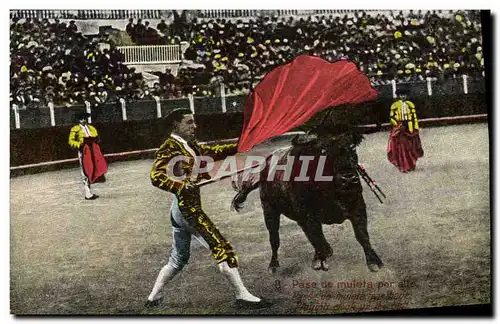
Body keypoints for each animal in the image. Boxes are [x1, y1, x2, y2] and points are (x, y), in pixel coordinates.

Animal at [230, 130, 382, 272]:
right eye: (322, 151)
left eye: (352, 147)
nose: (348, 179)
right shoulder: (310, 216)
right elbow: (316, 237)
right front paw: (321, 260)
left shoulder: (358, 207)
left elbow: (362, 235)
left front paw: (374, 261)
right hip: (269, 210)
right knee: (274, 238)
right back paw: (273, 265)